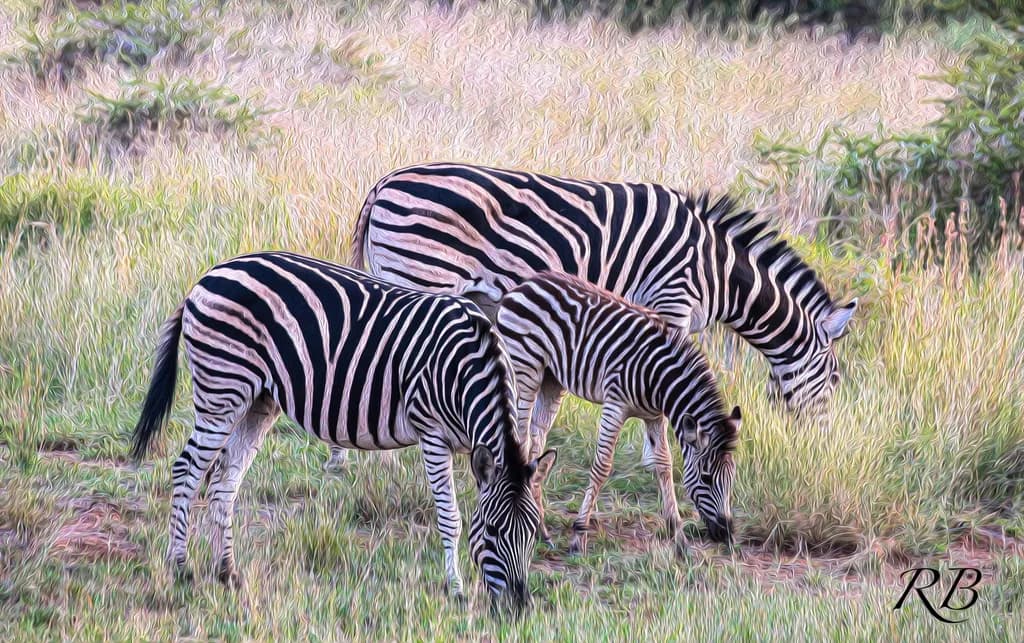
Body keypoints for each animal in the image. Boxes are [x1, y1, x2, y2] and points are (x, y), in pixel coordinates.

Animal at [130, 251, 555, 611]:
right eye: (494, 531)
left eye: (533, 533)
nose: (518, 607)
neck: (468, 371)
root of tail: (207, 277)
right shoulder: (432, 432)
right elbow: (450, 515)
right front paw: (456, 589)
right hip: (221, 391)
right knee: (186, 470)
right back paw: (181, 568)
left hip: (257, 401)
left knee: (224, 481)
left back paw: (228, 573)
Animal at [331, 162, 856, 468]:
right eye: (833, 378)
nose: (823, 448)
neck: (718, 271)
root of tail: (384, 183)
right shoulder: (670, 301)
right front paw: (655, 455)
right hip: (420, 274)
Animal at [496, 272, 741, 551]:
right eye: (707, 477)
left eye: (732, 477)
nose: (727, 535)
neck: (659, 377)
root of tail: (528, 282)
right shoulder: (616, 404)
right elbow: (602, 466)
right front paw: (579, 535)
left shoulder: (654, 416)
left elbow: (664, 465)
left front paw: (678, 535)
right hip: (524, 368)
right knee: (522, 436)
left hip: (551, 379)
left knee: (537, 440)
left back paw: (541, 528)